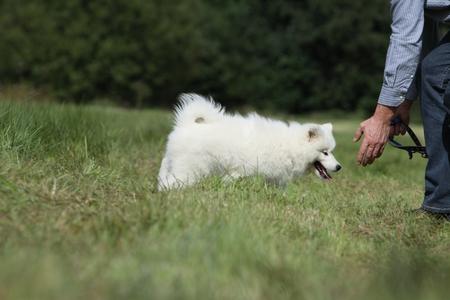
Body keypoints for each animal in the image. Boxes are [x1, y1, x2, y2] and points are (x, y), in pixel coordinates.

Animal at [158, 94, 342, 190]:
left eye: (331, 151)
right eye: (325, 152)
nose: (339, 167)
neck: (292, 147)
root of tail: (185, 124)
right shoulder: (244, 170)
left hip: (173, 164)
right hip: (190, 170)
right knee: (173, 183)